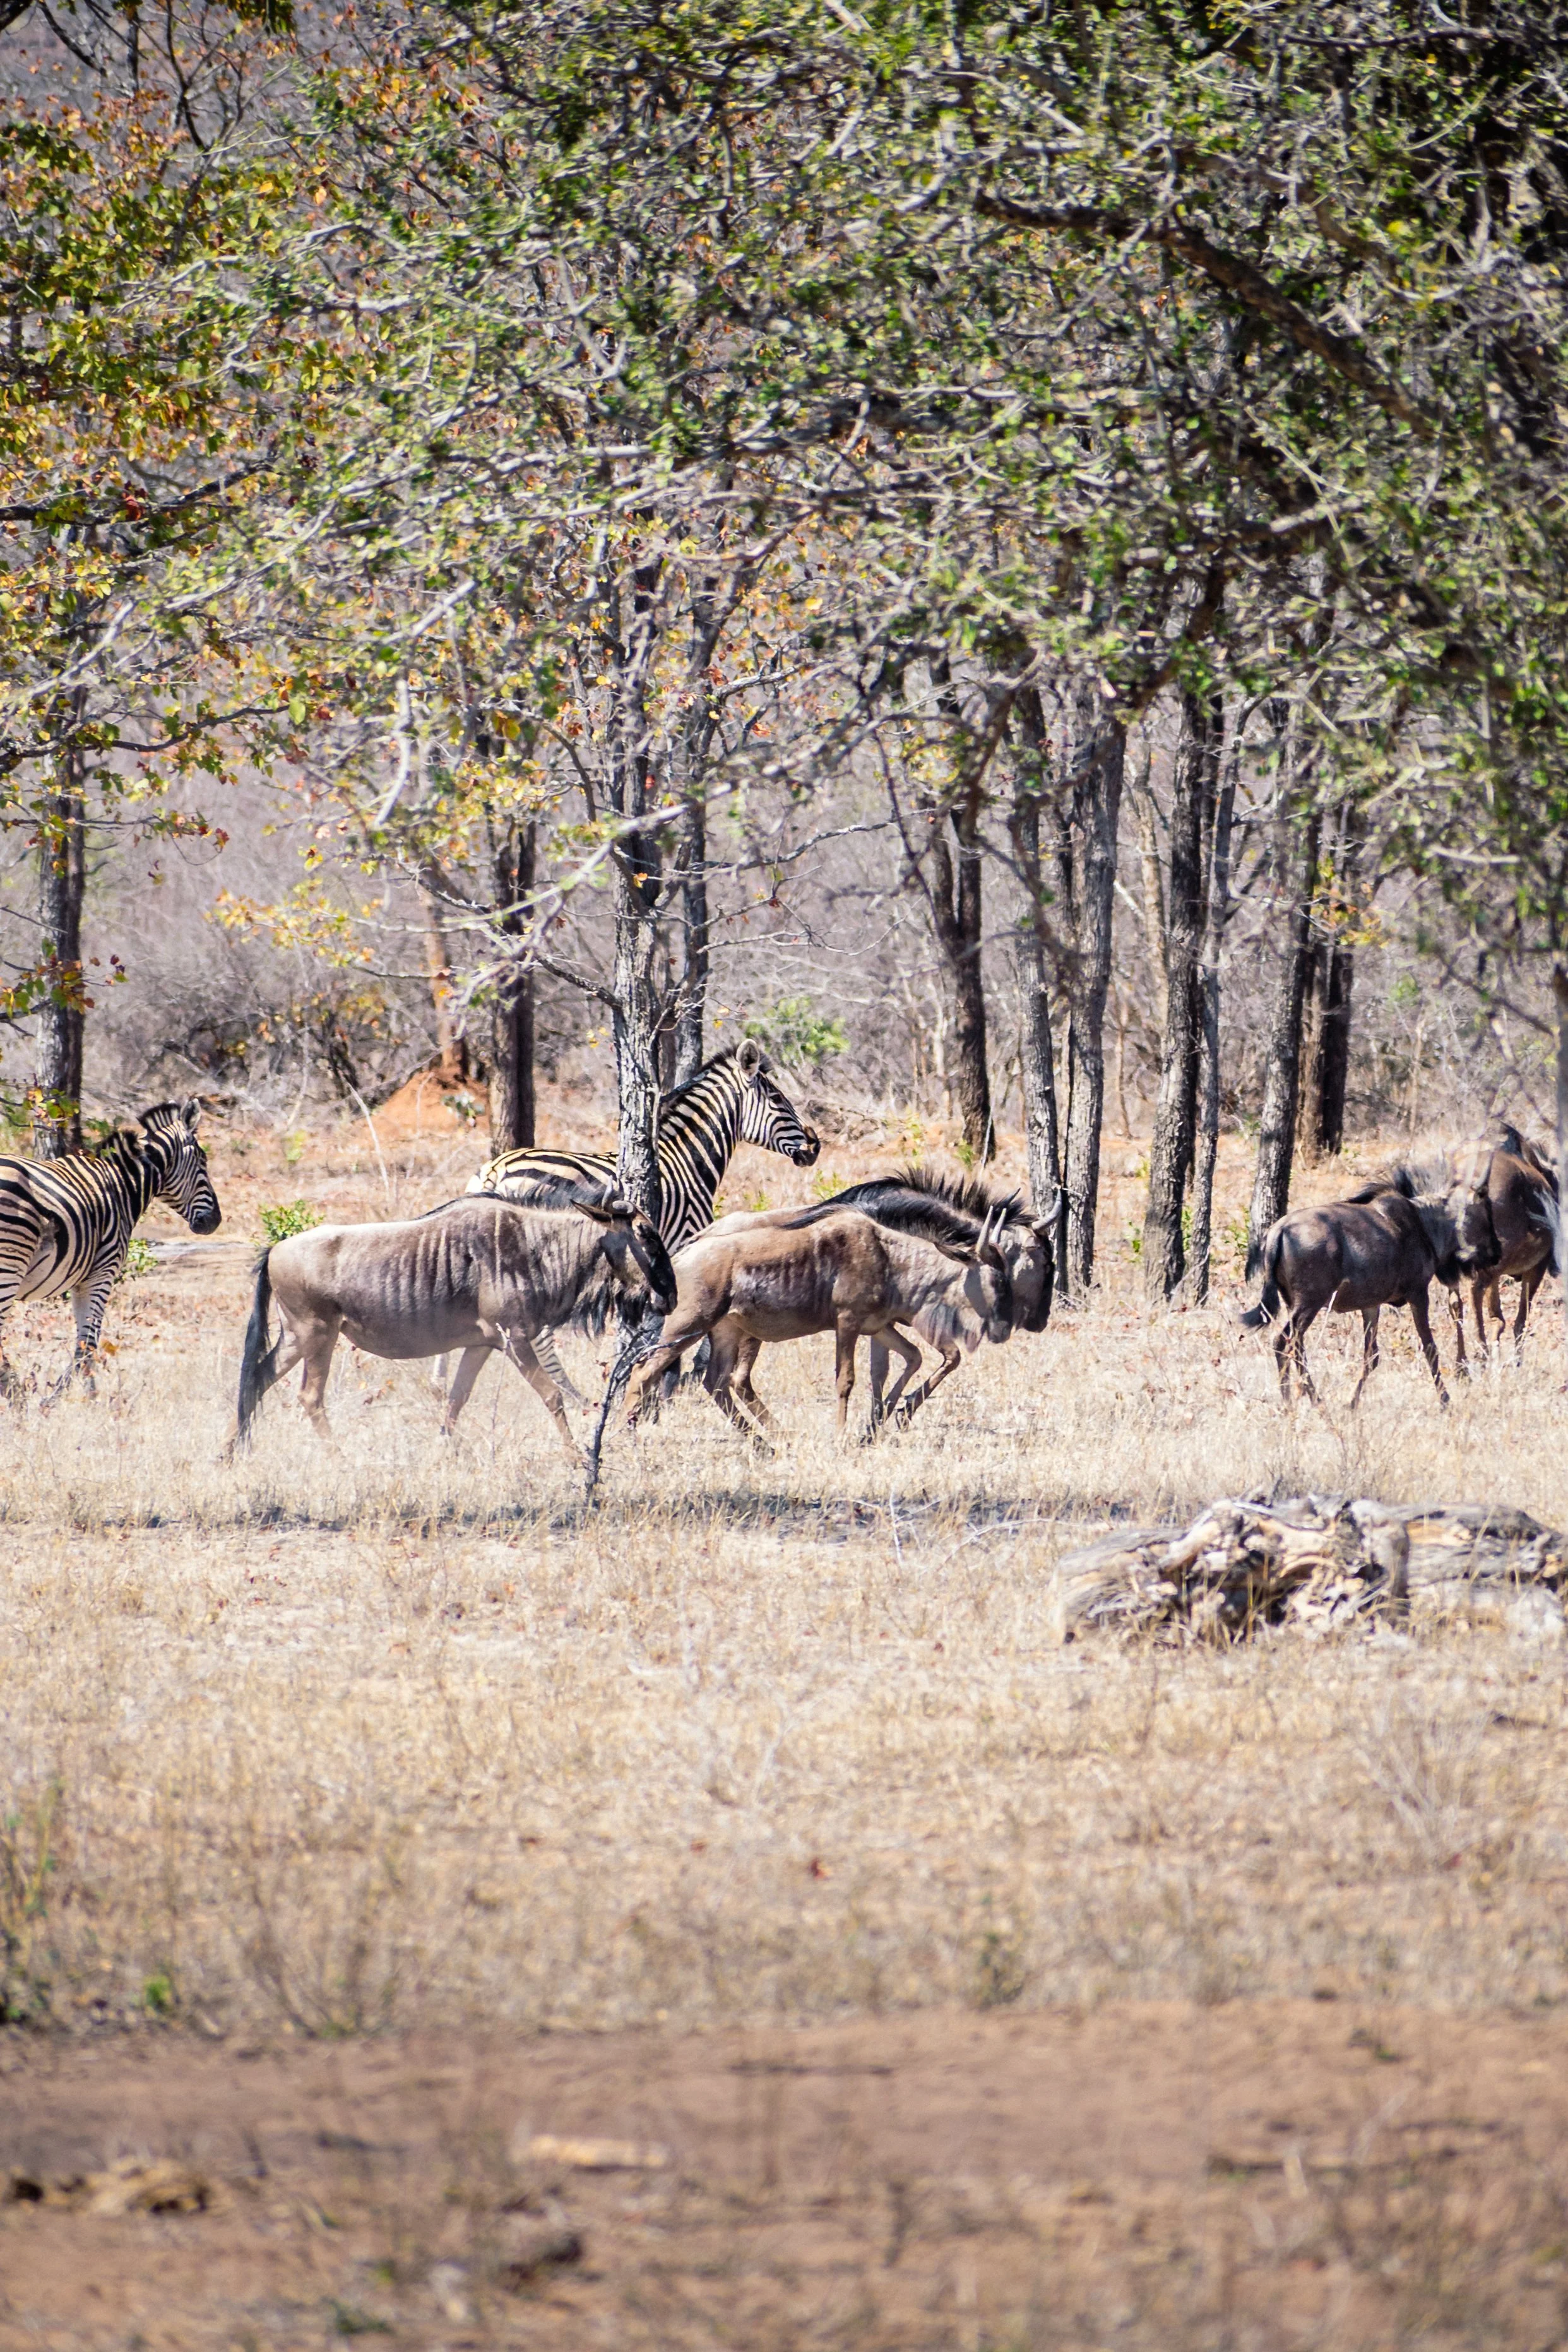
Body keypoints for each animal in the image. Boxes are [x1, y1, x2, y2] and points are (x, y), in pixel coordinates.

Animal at [0, 1097, 220, 1399]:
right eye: (203, 1161)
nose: (216, 1221)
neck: (122, 1185)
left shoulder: (80, 1281)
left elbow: (83, 1341)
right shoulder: (103, 1273)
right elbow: (88, 1343)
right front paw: (82, 1398)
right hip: (9, 1266)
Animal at [465, 1040, 819, 1405]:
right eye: (777, 1099)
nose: (815, 1146)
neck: (687, 1159)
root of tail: (497, 1169)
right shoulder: (683, 1242)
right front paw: (678, 1375)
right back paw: (571, 1394)